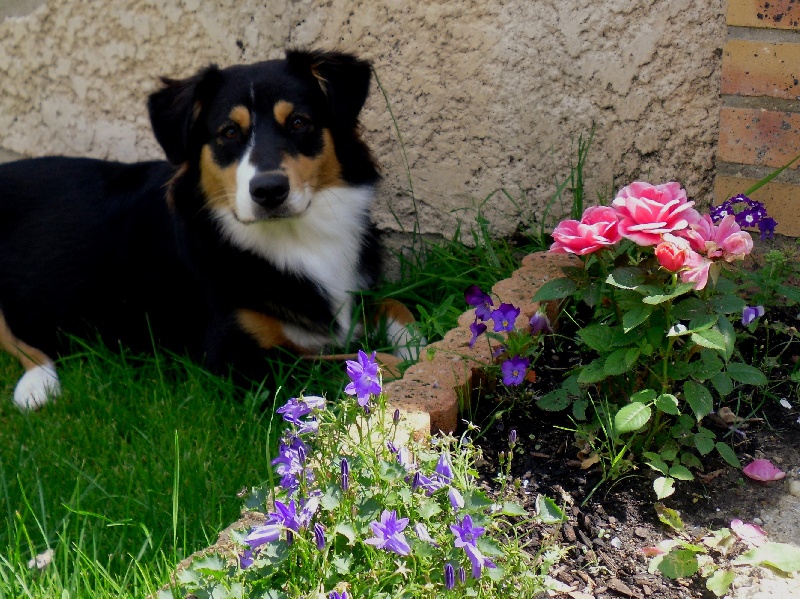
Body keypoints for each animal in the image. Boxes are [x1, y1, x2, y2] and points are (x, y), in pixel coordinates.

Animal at [0, 49, 416, 410]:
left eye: (299, 122)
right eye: (229, 132)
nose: (268, 190)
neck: (294, 237)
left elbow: (396, 305)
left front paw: (417, 342)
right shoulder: (239, 361)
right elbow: (352, 364)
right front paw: (404, 366)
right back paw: (37, 384)